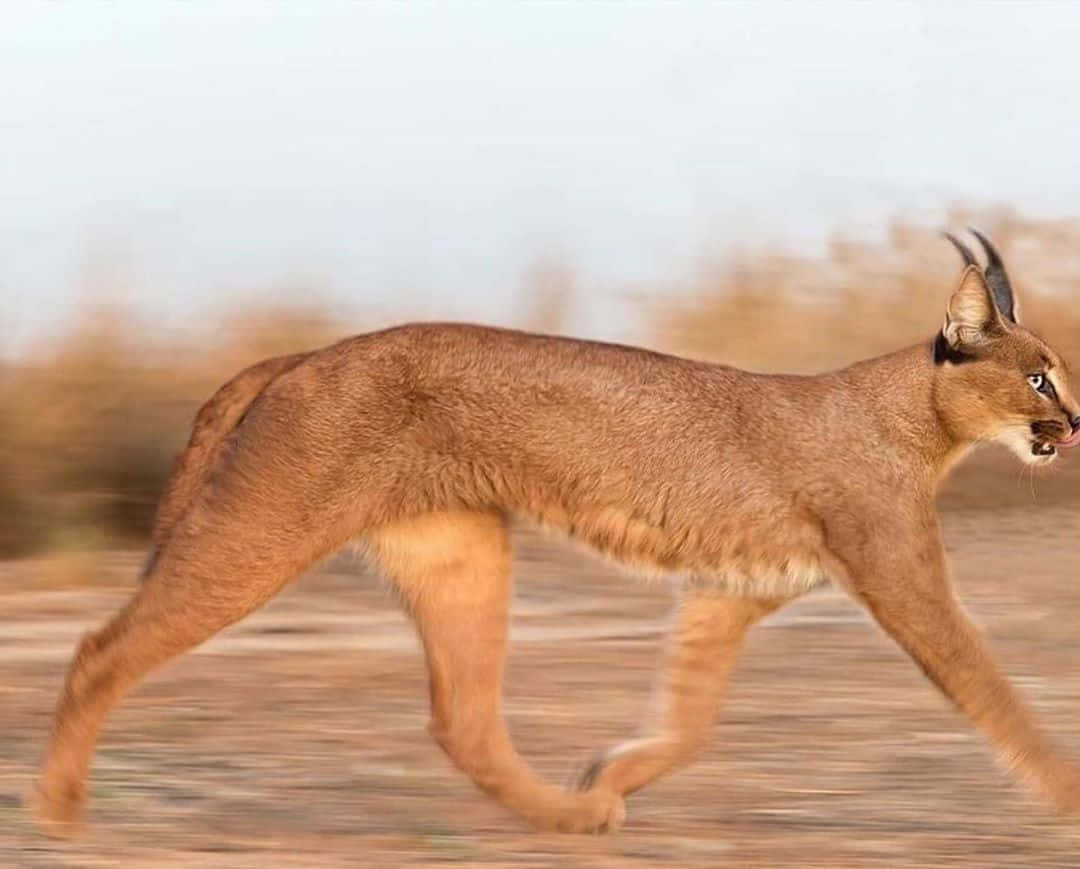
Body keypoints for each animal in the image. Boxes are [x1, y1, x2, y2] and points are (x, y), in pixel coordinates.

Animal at [33, 231, 1080, 833]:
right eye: (1038, 375)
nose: (1072, 424)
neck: (920, 423)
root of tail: (304, 351)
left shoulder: (731, 590)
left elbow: (691, 714)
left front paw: (618, 765)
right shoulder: (900, 574)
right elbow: (993, 687)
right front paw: (1066, 795)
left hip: (460, 551)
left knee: (462, 720)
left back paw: (575, 812)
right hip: (265, 529)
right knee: (101, 647)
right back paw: (60, 811)